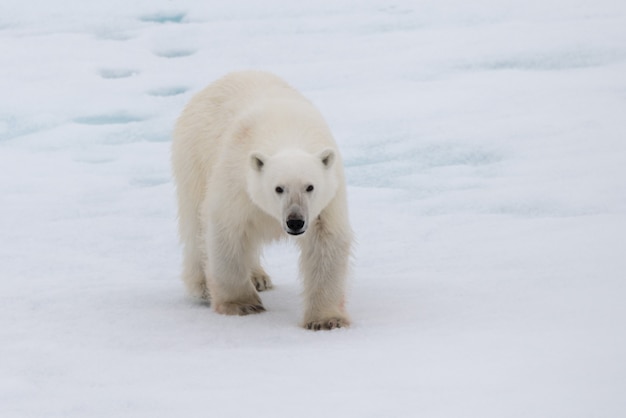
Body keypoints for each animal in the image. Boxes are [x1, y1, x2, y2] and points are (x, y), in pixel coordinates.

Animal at [172, 71, 352, 330]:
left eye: (310, 187)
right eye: (278, 188)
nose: (295, 221)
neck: (286, 132)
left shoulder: (327, 199)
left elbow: (326, 240)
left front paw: (327, 320)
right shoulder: (236, 181)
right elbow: (225, 231)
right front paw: (241, 305)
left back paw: (259, 277)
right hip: (193, 157)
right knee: (195, 223)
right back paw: (203, 286)